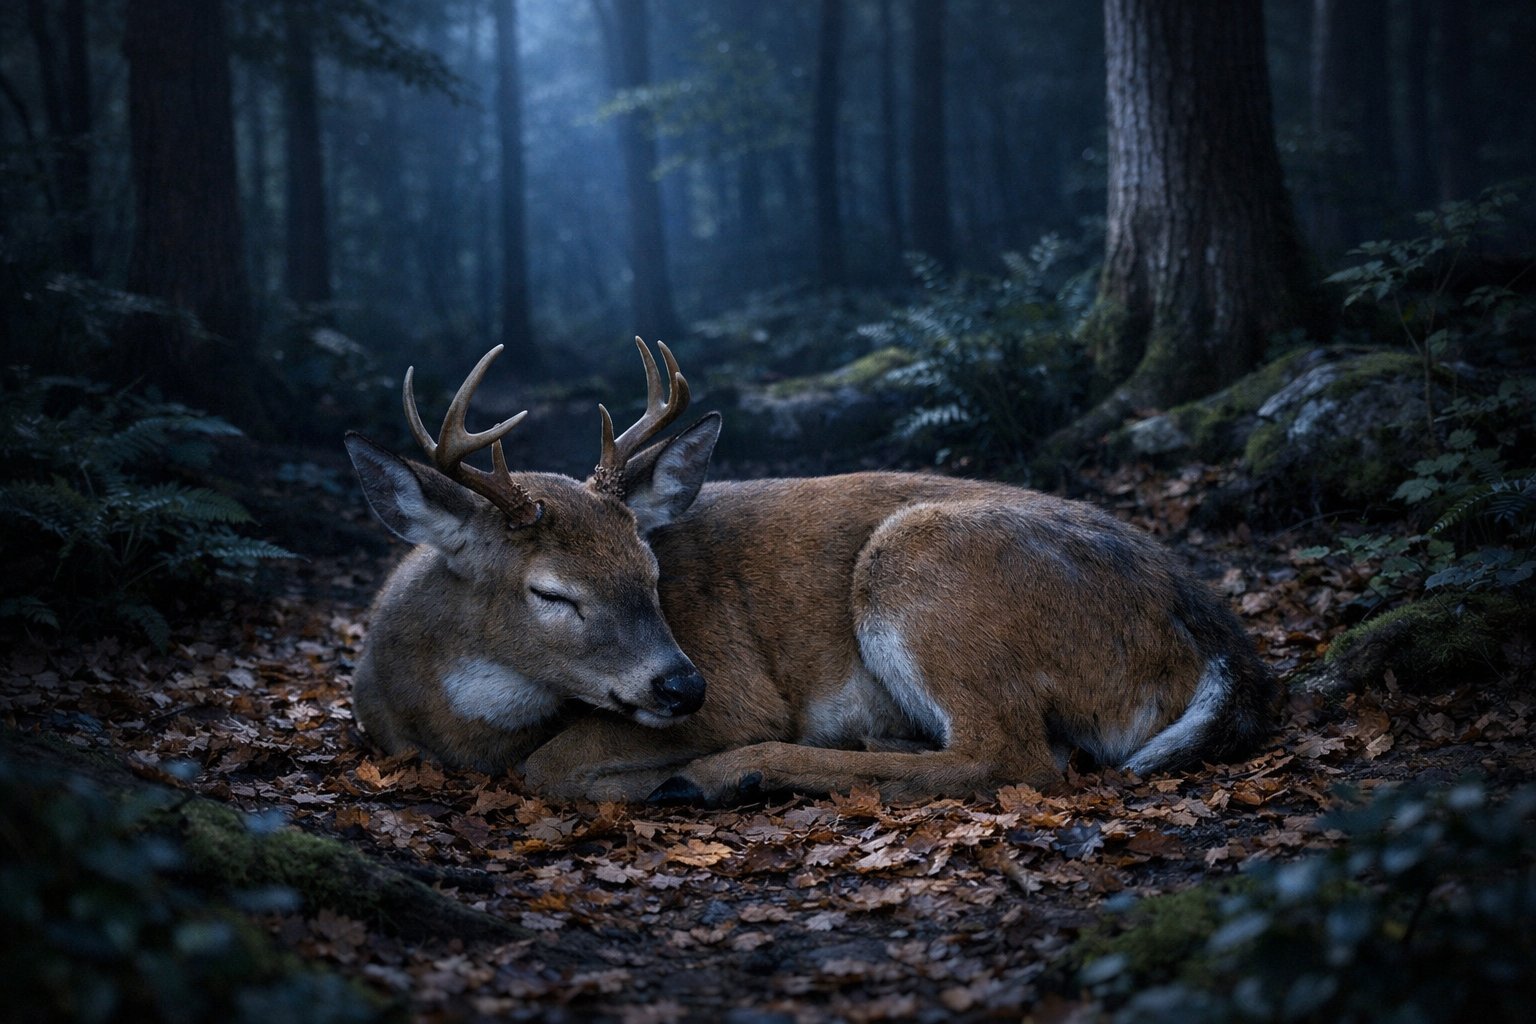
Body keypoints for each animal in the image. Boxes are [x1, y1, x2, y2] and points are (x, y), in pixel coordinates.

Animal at [343, 338, 1278, 805]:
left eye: (651, 570)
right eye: (550, 591)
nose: (684, 685)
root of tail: (1217, 637)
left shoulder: (741, 690)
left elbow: (551, 767)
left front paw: (661, 775)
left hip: (922, 567)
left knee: (1012, 756)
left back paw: (729, 775)